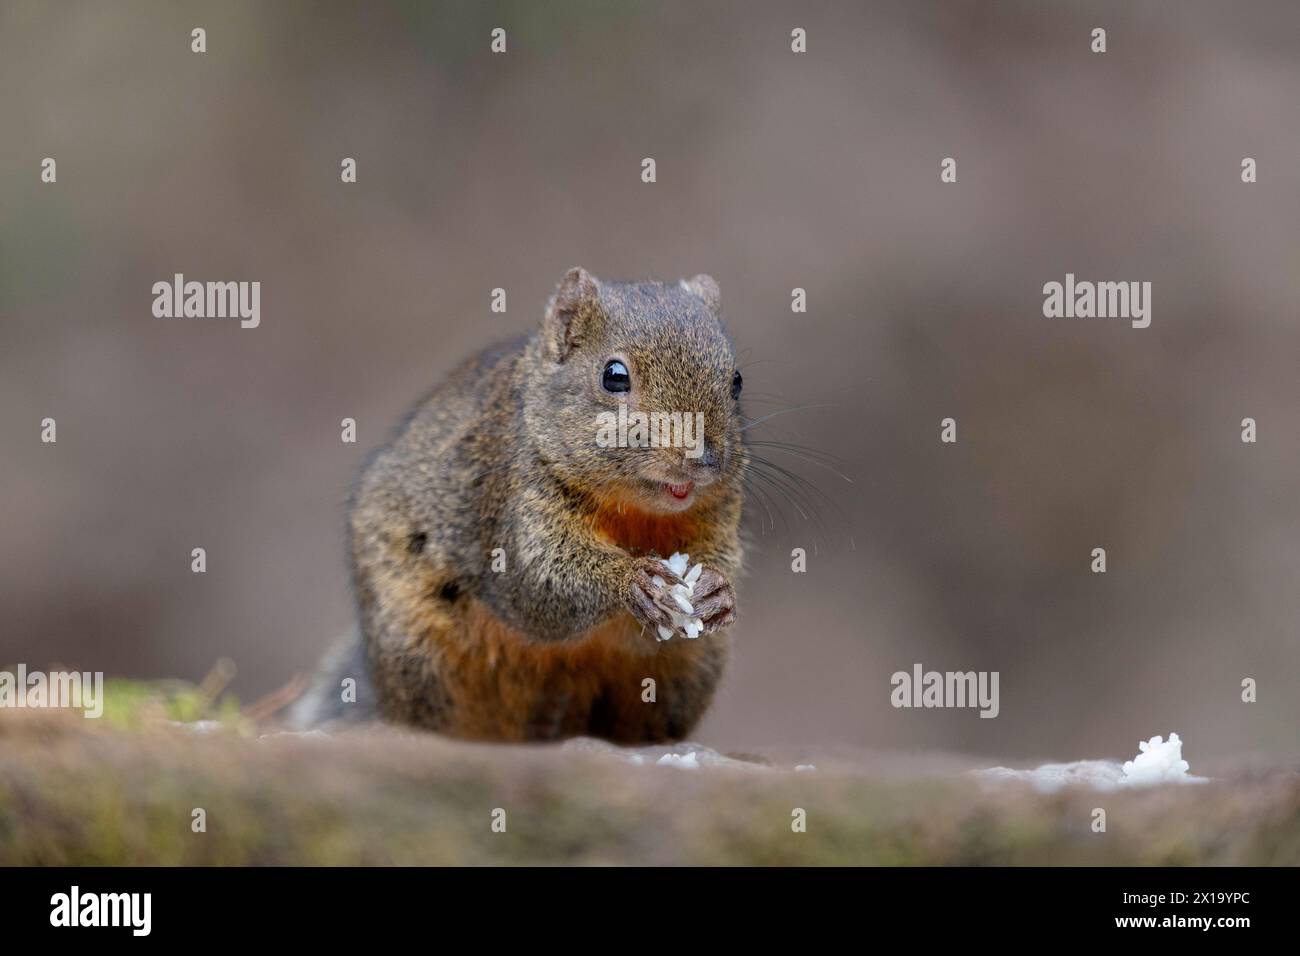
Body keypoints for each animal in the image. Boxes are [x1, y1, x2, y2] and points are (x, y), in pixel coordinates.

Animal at [292, 265, 743, 743]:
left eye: (736, 381)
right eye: (614, 376)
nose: (699, 459)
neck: (636, 514)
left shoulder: (719, 515)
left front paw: (717, 591)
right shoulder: (508, 510)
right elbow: (538, 584)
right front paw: (633, 580)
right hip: (416, 650)